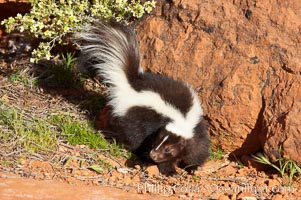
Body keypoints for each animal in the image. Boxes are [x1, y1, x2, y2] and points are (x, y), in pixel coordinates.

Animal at [75, 20, 209, 175]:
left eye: (168, 149)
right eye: (156, 142)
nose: (153, 154)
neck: (182, 118)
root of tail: (131, 84)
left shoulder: (195, 129)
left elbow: (198, 148)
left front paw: (193, 167)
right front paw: (169, 170)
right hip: (133, 119)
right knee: (135, 139)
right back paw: (139, 157)